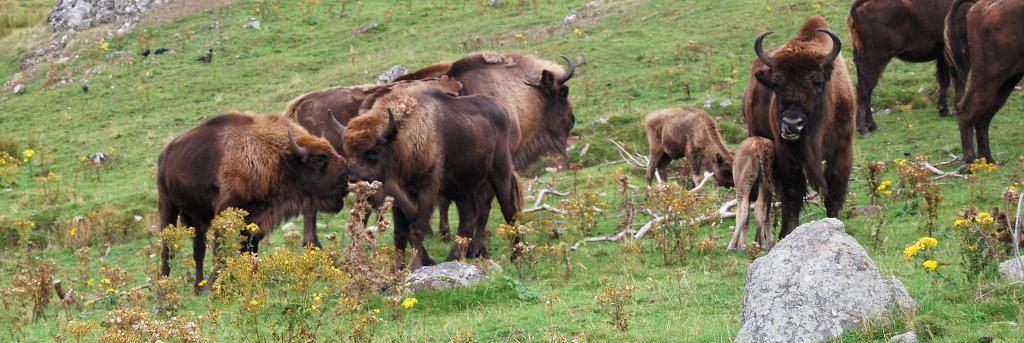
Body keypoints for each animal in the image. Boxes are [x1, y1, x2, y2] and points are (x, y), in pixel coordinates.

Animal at [344, 79, 524, 270]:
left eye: (373, 152)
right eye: (347, 152)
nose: (354, 181)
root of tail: (502, 110)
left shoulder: (427, 188)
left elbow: (416, 229)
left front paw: (414, 265)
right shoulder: (398, 197)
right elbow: (400, 233)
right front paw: (398, 268)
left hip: (500, 171)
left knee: (507, 209)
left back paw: (516, 256)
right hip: (463, 186)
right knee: (468, 217)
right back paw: (454, 257)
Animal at [745, 15, 856, 239]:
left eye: (817, 81)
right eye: (776, 83)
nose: (792, 124)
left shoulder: (842, 151)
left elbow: (834, 193)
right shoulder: (786, 156)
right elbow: (792, 195)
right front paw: (788, 232)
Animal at [847, 0, 966, 137]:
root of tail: (859, 6)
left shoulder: (942, 55)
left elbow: (943, 81)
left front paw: (944, 111)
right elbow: (957, 82)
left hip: (862, 62)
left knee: (866, 90)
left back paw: (872, 127)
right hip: (875, 60)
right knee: (863, 90)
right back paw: (864, 130)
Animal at [942, 0, 1024, 164]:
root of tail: (980, 5)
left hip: (1007, 79)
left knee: (984, 114)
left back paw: (987, 159)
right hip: (990, 75)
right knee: (967, 110)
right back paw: (970, 161)